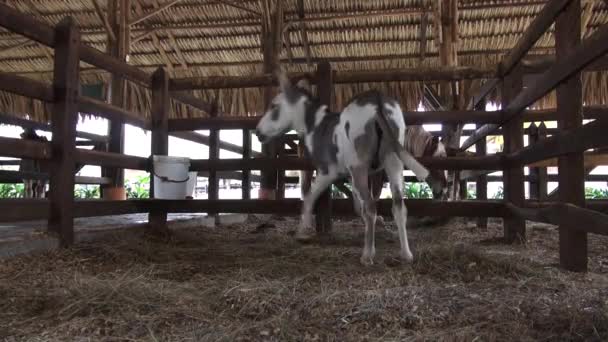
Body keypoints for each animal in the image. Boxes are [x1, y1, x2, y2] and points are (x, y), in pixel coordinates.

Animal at [254, 71, 430, 266]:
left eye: (273, 106)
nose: (257, 132)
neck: (317, 126)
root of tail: (377, 100)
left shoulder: (327, 171)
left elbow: (309, 198)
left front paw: (302, 232)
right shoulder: (350, 176)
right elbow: (357, 206)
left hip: (359, 166)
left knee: (371, 207)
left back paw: (367, 255)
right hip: (393, 160)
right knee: (398, 206)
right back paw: (406, 254)